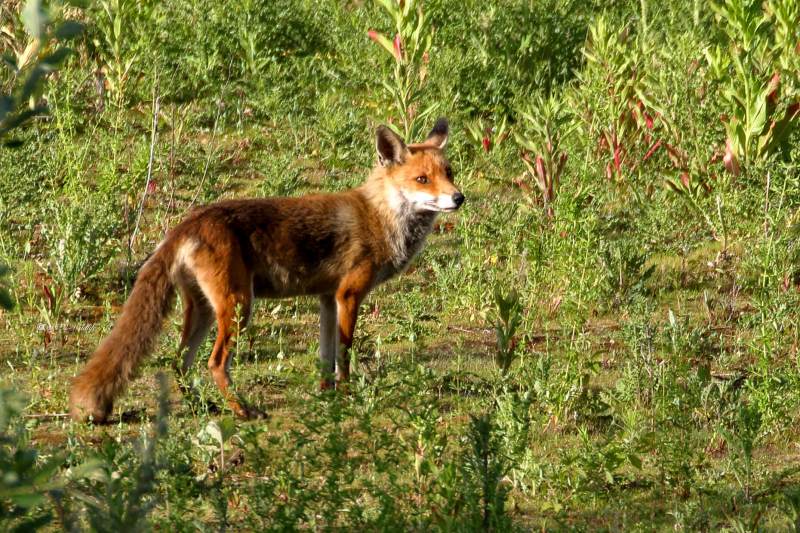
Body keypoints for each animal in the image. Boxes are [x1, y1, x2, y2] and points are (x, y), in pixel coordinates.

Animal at [69, 118, 464, 422]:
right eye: (422, 180)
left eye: (449, 173)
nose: (459, 198)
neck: (381, 218)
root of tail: (188, 223)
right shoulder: (349, 295)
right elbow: (345, 355)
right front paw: (347, 396)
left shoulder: (327, 299)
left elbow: (325, 357)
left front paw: (326, 395)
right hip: (239, 306)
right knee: (214, 363)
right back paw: (242, 411)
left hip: (205, 310)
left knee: (179, 361)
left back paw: (203, 407)